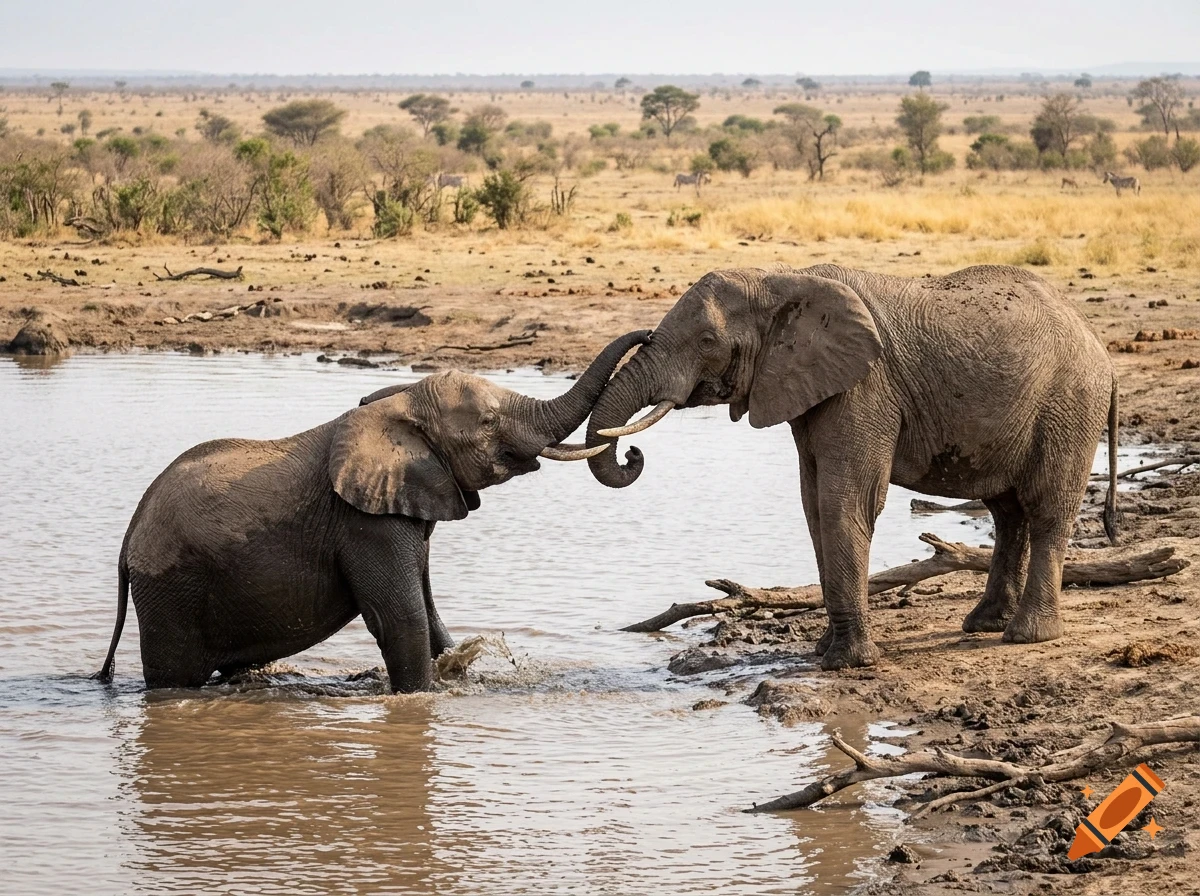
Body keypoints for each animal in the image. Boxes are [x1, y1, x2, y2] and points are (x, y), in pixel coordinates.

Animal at [93, 329, 651, 693]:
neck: (399, 407)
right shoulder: (365, 524)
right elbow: (402, 618)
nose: (646, 333)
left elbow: (429, 614)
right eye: (489, 422)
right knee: (173, 677)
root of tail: (127, 540)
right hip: (170, 591)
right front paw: (421, 700)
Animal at [584, 265, 1118, 670]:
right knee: (1008, 512)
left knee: (1046, 509)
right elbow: (813, 506)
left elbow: (845, 502)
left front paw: (846, 664)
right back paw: (985, 623)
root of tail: (1099, 345)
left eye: (707, 341)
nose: (633, 455)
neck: (779, 281)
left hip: (1069, 404)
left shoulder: (864, 387)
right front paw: (826, 651)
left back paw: (1027, 635)